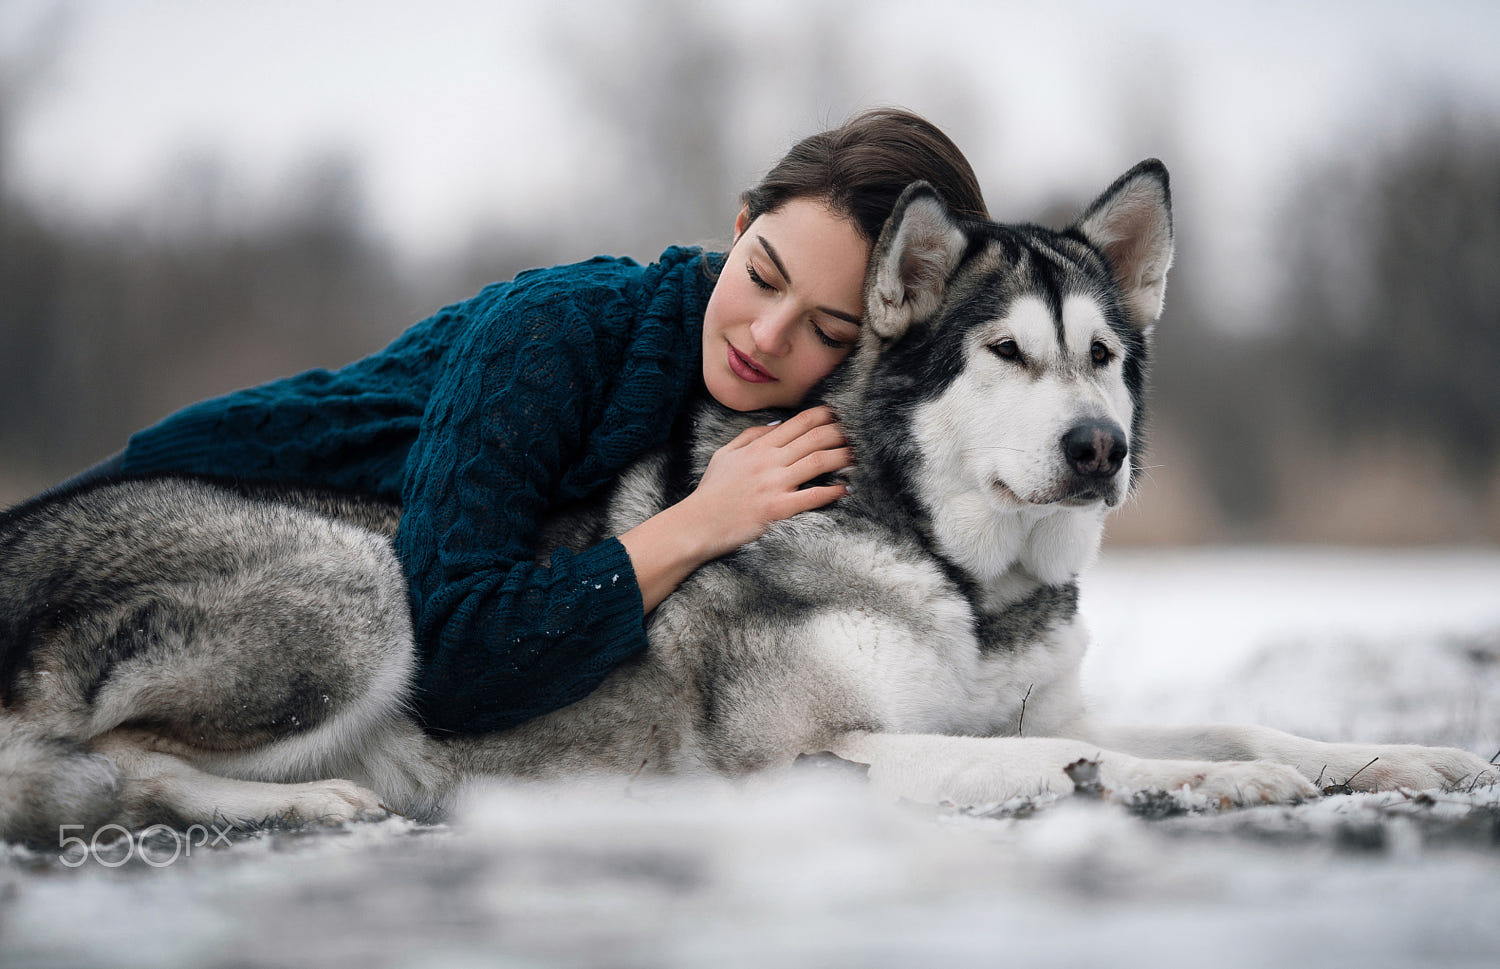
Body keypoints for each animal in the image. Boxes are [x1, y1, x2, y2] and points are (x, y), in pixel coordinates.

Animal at [2, 163, 1500, 846]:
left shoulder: (1030, 695)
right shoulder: (812, 755)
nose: (1098, 448)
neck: (963, 576)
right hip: (370, 589)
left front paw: (1386, 756)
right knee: (112, 762)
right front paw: (1191, 778)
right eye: (1004, 353)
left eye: (1104, 358)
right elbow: (1058, 759)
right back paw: (318, 803)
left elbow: (1222, 720)